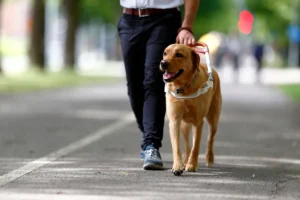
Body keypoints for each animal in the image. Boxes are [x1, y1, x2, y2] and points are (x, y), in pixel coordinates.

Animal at [161, 42, 221, 175]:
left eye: (179, 54)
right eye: (165, 53)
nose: (163, 62)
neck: (184, 88)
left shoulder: (198, 122)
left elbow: (196, 146)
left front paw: (192, 165)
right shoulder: (174, 120)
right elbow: (177, 146)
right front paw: (178, 166)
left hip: (213, 119)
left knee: (210, 139)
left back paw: (209, 158)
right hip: (184, 125)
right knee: (187, 144)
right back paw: (185, 160)